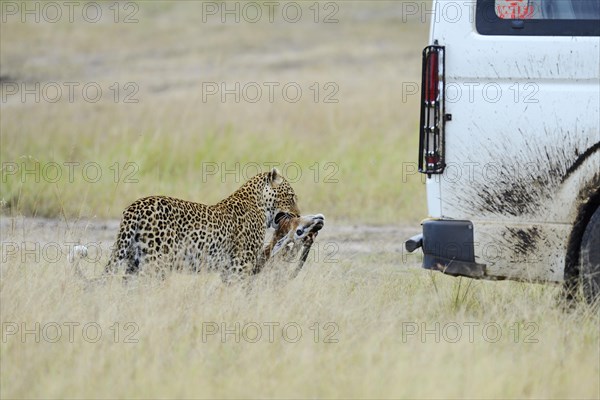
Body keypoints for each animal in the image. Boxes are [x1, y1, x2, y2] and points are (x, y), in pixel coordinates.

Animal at [104, 168, 300, 278]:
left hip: (132, 261)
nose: (298, 214)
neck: (259, 204)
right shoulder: (242, 263)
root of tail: (135, 206)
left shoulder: (230, 267)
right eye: (291, 196)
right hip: (156, 262)